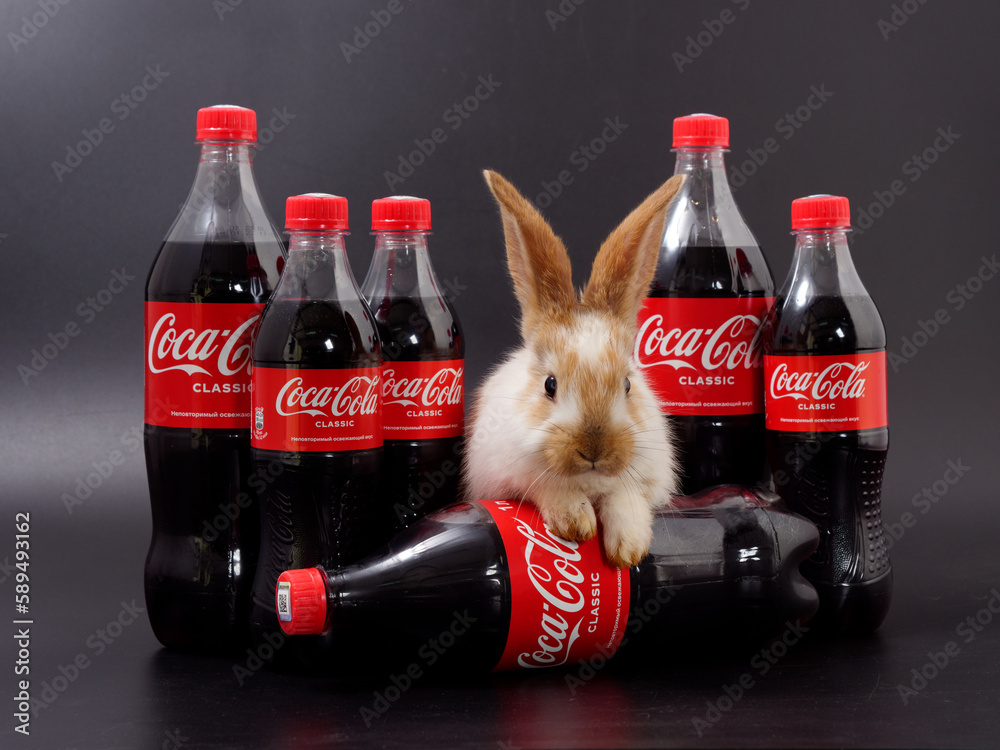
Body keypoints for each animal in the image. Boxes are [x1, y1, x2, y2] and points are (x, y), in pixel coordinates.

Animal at [462, 169, 685, 568]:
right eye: (549, 385)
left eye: (627, 385)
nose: (595, 449)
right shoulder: (508, 476)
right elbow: (552, 488)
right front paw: (576, 525)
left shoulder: (643, 478)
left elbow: (626, 500)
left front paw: (627, 550)